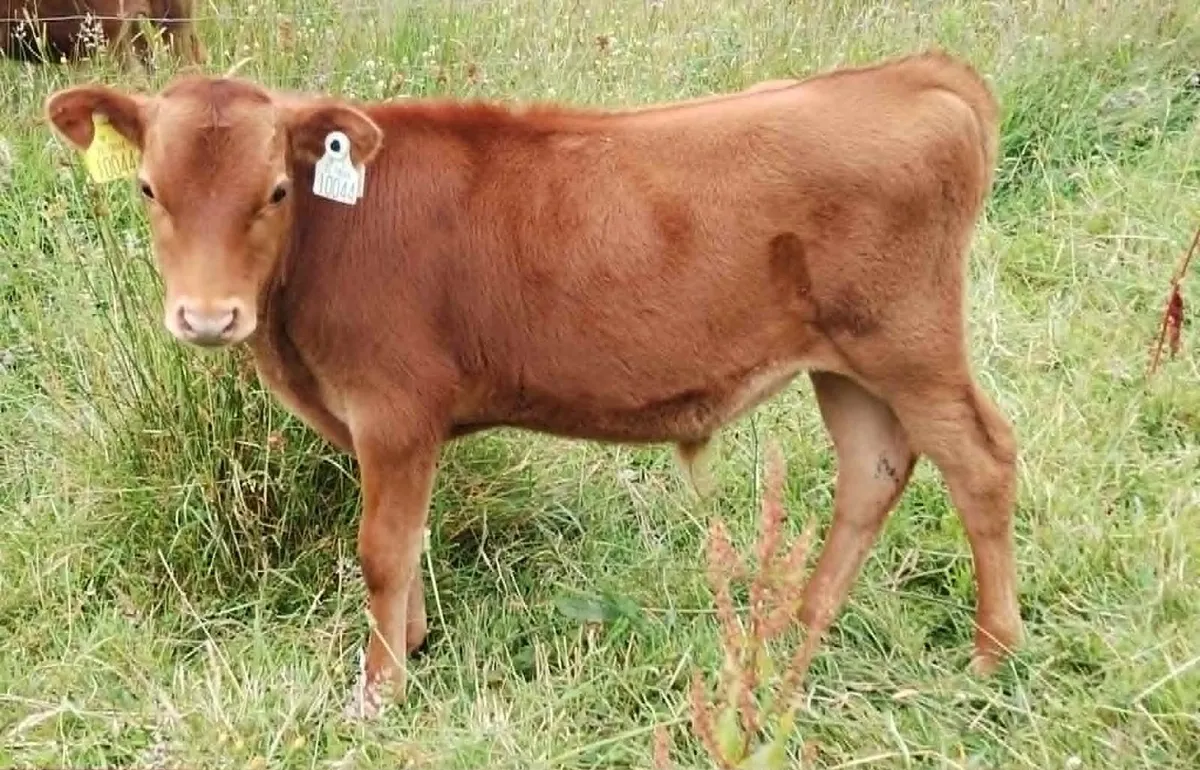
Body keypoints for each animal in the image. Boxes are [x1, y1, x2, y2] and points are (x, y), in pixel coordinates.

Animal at [45, 49, 1022, 718]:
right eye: (147, 189)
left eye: (278, 190)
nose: (208, 318)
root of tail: (911, 73)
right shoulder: (397, 427)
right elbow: (411, 539)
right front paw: (413, 645)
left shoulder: (393, 409)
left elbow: (381, 548)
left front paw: (377, 692)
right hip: (845, 363)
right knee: (874, 471)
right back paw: (794, 635)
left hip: (910, 343)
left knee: (981, 464)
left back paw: (990, 658)